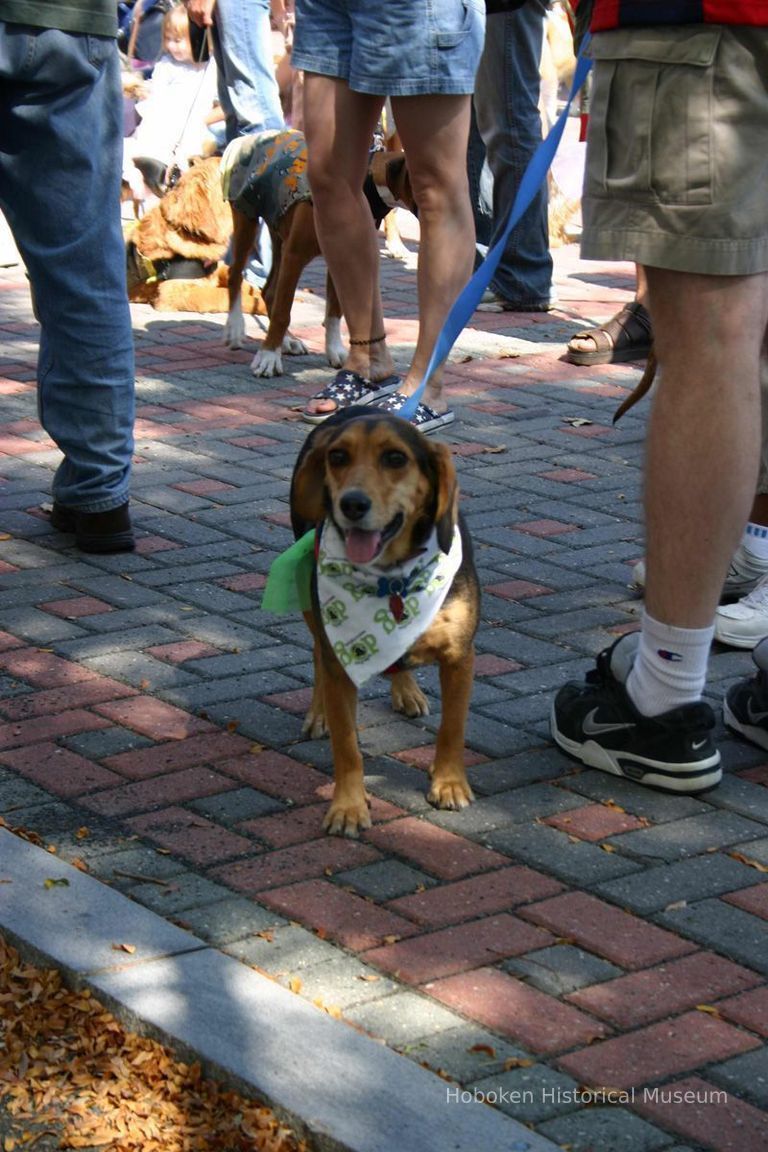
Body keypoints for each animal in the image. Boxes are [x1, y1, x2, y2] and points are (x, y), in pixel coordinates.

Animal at [218, 129, 416, 377]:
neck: (366, 185)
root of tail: (247, 137)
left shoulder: (343, 256)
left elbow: (334, 311)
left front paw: (335, 350)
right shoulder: (295, 255)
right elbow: (284, 310)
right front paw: (269, 357)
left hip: (279, 233)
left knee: (270, 291)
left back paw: (288, 341)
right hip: (247, 219)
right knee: (235, 274)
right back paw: (235, 328)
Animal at [290, 407, 476, 838]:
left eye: (395, 458)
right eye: (338, 457)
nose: (352, 504)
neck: (390, 576)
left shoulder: (460, 656)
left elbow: (453, 727)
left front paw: (449, 783)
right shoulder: (340, 661)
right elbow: (346, 746)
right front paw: (348, 807)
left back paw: (406, 689)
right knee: (318, 652)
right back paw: (319, 712)